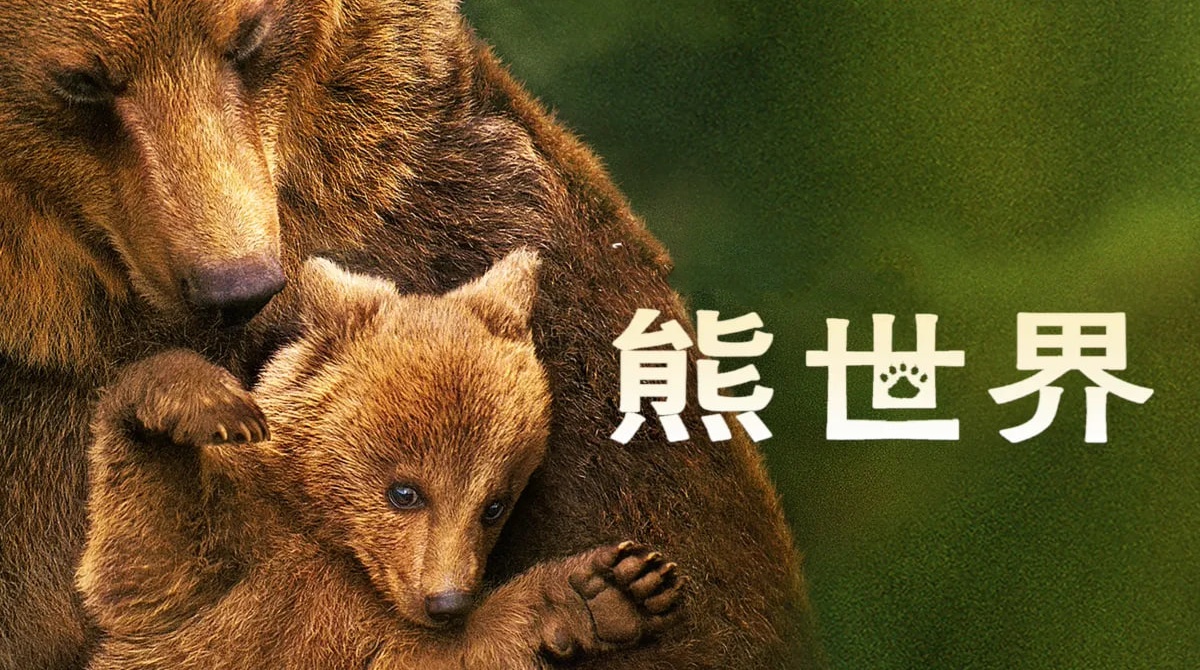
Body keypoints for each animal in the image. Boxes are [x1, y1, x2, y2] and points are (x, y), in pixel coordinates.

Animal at [78, 251, 685, 669]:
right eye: (405, 491)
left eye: (494, 505)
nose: (447, 600)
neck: (332, 543)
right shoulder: (225, 567)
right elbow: (144, 552)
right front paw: (204, 403)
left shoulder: (368, 630)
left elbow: (446, 653)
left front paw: (613, 588)